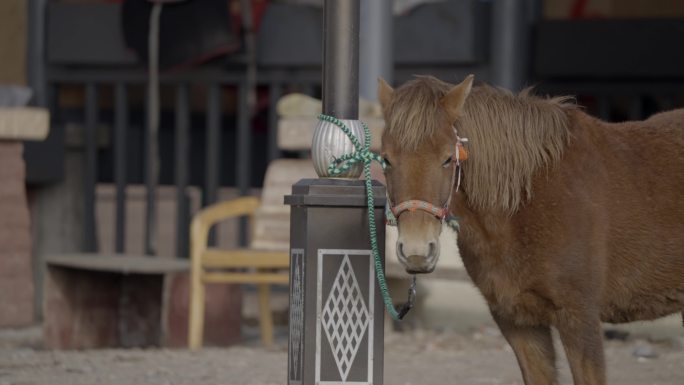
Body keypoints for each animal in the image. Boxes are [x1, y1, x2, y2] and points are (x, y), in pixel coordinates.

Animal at [380, 75, 684, 384]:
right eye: (386, 160)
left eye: (447, 159)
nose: (416, 252)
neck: (527, 203)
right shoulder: (519, 323)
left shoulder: (580, 318)